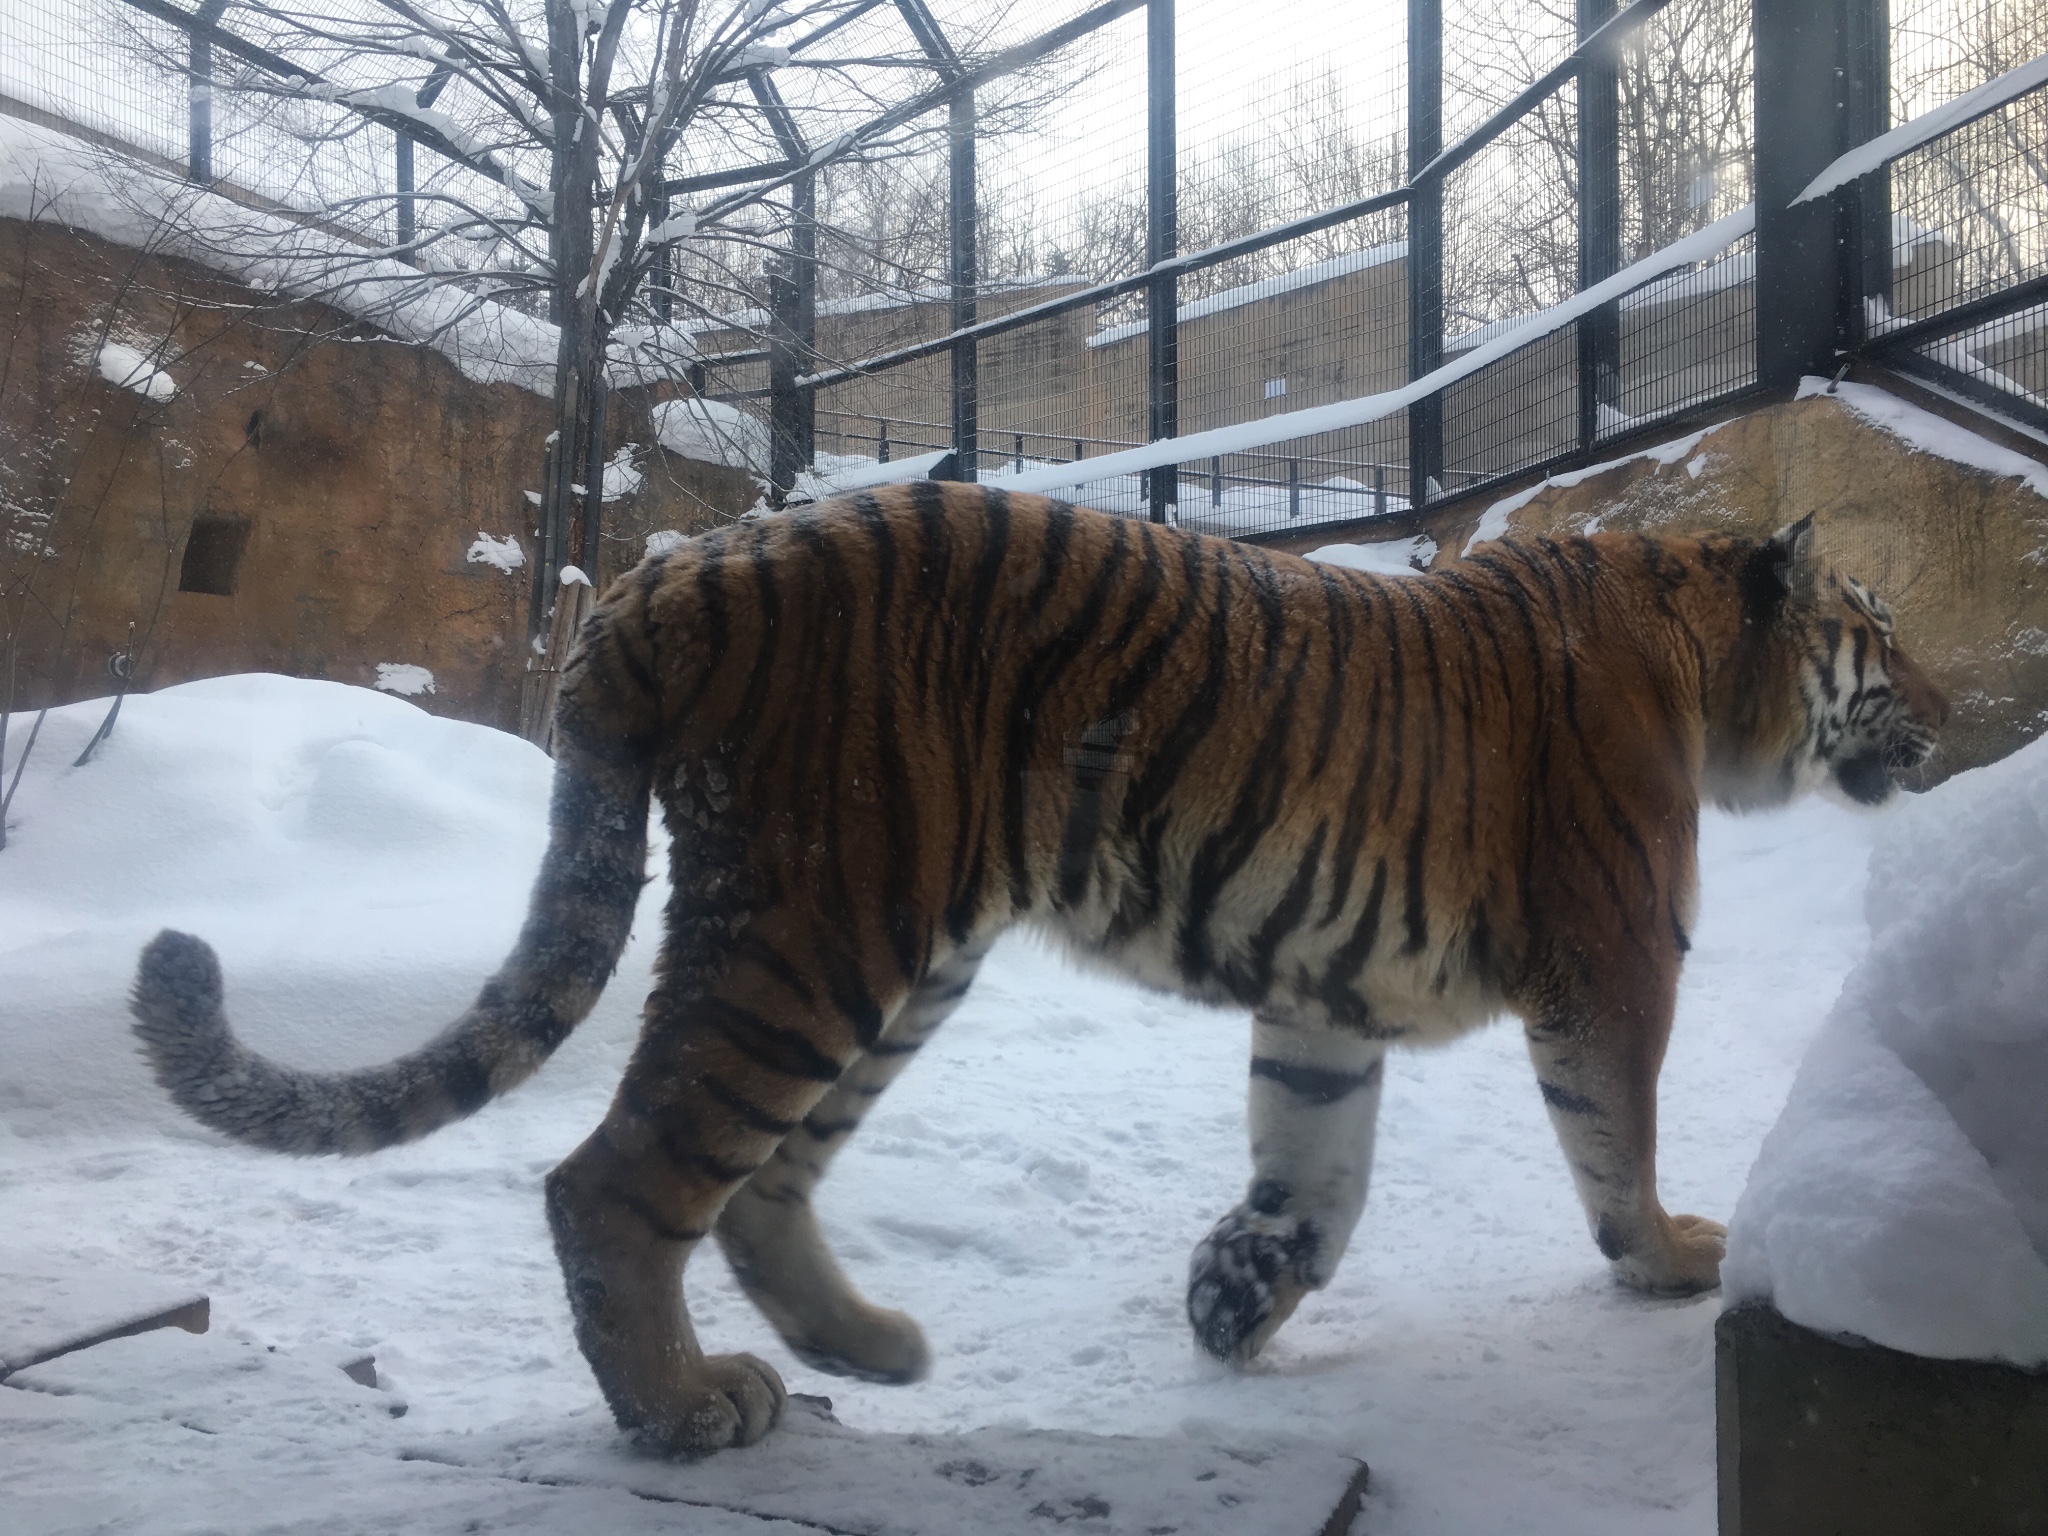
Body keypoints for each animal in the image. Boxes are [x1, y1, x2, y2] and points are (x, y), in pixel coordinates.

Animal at [132, 487, 1949, 1458]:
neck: (1699, 660)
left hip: (896, 949)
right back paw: (685, 1405)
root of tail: (669, 573)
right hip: (823, 922)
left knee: (756, 1179)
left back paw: (869, 1349)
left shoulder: (1326, 993)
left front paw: (1233, 1297)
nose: (1941, 714)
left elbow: (1317, 1168)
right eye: (1882, 631)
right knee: (621, 1176)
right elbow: (1613, 1134)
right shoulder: (1617, 955)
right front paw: (1673, 1256)